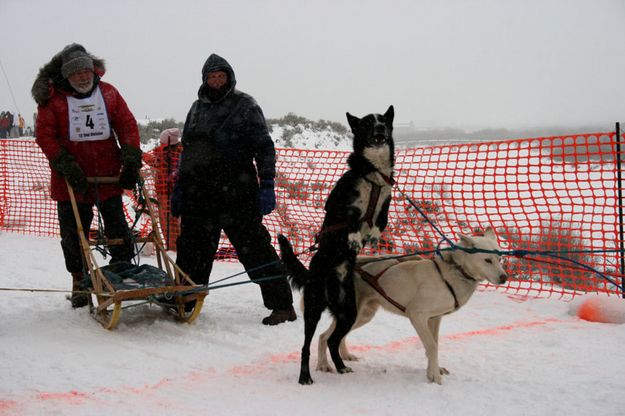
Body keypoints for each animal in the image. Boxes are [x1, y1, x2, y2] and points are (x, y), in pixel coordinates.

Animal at [280, 105, 394, 386]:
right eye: (368, 123)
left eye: (384, 121)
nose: (380, 129)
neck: (373, 175)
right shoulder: (341, 204)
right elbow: (350, 220)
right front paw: (354, 237)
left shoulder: (386, 202)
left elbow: (381, 221)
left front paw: (371, 236)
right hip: (314, 308)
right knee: (307, 345)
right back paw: (305, 376)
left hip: (348, 311)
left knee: (332, 340)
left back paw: (341, 366)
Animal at [316, 228, 508, 384]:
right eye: (487, 260)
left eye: (499, 258)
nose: (504, 277)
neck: (452, 272)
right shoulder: (417, 316)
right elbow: (431, 346)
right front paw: (435, 377)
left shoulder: (434, 319)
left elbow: (434, 345)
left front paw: (434, 370)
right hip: (353, 315)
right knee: (324, 336)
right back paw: (323, 365)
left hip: (363, 315)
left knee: (334, 336)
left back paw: (345, 356)